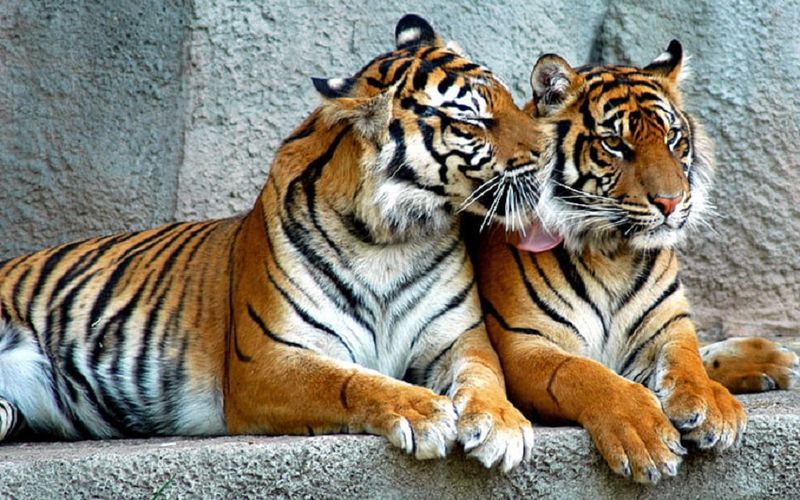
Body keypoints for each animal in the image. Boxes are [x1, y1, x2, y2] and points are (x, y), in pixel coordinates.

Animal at [0, 14, 540, 472]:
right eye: (472, 121)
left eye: (510, 99)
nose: (545, 151)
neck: (391, 237)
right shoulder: (268, 360)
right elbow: (347, 380)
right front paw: (424, 412)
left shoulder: (460, 339)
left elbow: (486, 378)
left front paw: (502, 426)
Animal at [473, 41, 796, 484]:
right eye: (614, 144)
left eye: (673, 138)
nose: (671, 202)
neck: (613, 253)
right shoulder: (523, 343)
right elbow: (585, 374)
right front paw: (644, 435)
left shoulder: (668, 322)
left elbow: (688, 358)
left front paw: (710, 405)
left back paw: (772, 359)